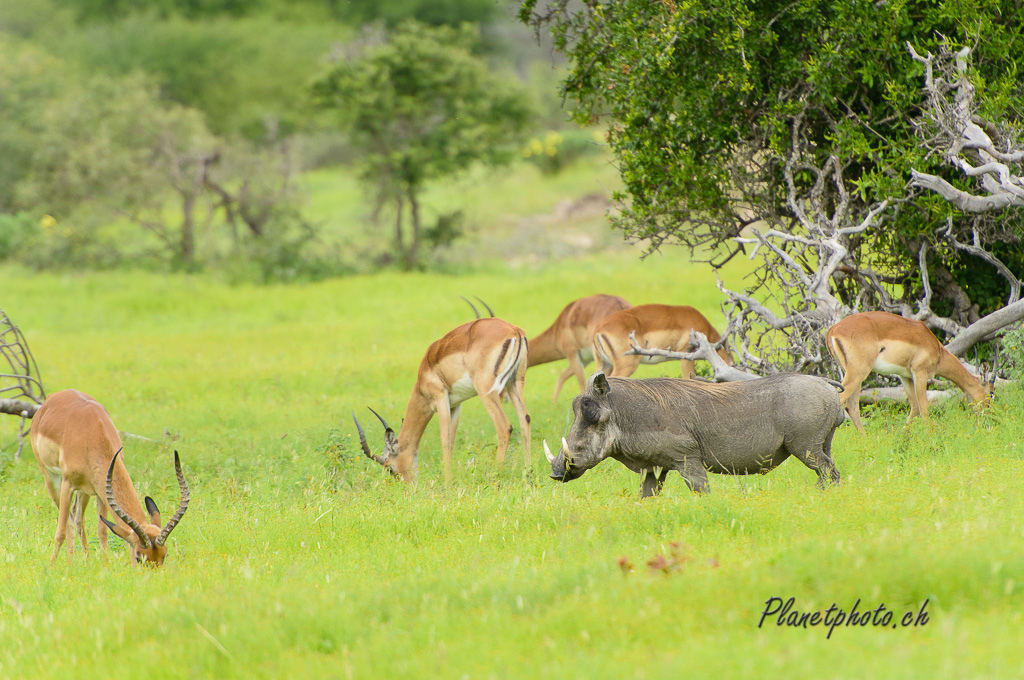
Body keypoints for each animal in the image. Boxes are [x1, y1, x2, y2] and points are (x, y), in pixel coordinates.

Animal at [29, 391, 190, 565]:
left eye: (164, 555)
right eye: (139, 556)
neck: (92, 435)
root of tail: (51, 398)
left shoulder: (102, 490)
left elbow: (103, 531)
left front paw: (105, 565)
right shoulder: (68, 483)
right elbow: (61, 531)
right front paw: (51, 566)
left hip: (86, 490)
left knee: (78, 518)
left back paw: (86, 560)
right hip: (51, 477)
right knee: (69, 521)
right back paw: (69, 563)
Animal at [356, 317, 532, 483]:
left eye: (390, 468)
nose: (408, 486)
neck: (424, 376)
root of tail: (514, 330)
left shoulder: (441, 399)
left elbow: (445, 442)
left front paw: (447, 484)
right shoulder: (456, 405)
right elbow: (452, 441)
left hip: (487, 389)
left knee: (504, 426)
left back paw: (496, 475)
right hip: (515, 384)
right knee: (525, 420)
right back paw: (527, 475)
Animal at [827, 311, 995, 432]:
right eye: (991, 394)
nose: (988, 418)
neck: (935, 348)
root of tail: (832, 330)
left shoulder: (905, 376)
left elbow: (914, 407)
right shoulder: (920, 372)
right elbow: (924, 407)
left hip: (855, 375)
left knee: (852, 407)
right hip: (858, 373)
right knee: (840, 400)